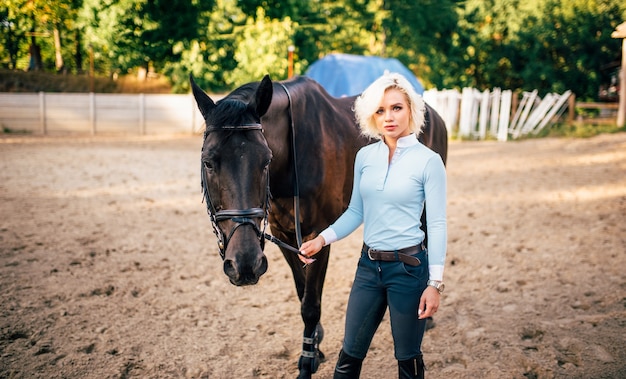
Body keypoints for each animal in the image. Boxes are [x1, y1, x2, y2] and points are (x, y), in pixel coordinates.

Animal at [189, 75, 444, 379]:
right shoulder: (284, 235)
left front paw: (307, 362)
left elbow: (310, 305)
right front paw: (316, 346)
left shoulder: (317, 236)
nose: (245, 264)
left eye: (266, 160)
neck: (292, 160)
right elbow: (303, 293)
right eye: (207, 162)